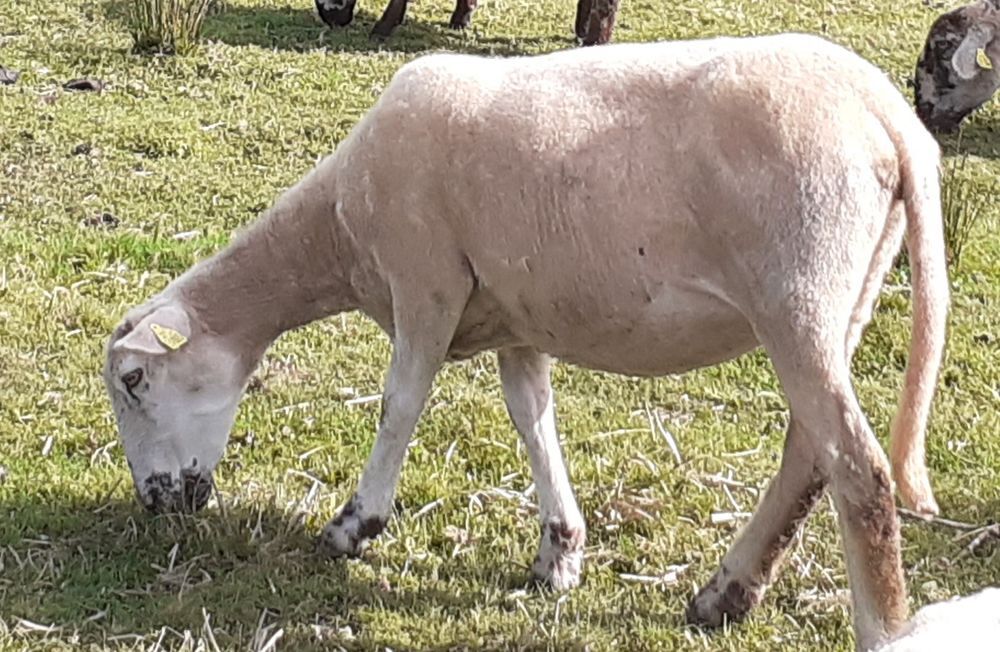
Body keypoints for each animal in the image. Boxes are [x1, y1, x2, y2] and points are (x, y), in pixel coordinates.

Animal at [103, 33, 949, 652]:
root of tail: (891, 117)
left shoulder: (426, 283)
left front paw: (354, 525)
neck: (336, 232)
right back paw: (724, 593)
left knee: (860, 473)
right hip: (846, 296)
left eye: (134, 383)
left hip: (798, 290)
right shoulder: (516, 319)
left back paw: (874, 625)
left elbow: (400, 403)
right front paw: (560, 553)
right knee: (808, 455)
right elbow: (532, 419)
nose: (156, 503)